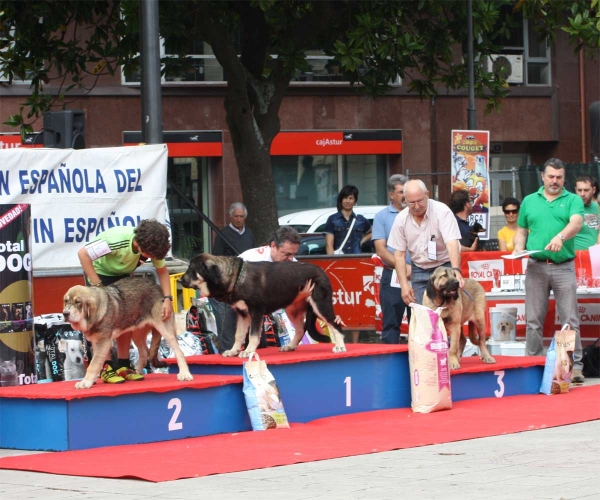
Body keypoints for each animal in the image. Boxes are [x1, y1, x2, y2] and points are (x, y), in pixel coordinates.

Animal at [61, 278, 192, 386]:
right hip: (137, 334)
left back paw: (185, 374)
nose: (65, 313)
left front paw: (85, 382)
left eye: (78, 302)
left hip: (165, 330)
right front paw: (91, 380)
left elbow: (93, 364)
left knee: (179, 351)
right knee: (145, 353)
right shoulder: (96, 342)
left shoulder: (103, 342)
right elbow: (96, 363)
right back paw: (136, 372)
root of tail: (157, 286)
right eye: (66, 301)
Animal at [179, 256, 346, 358]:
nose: (180, 280)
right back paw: (290, 346)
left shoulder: (256, 311)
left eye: (192, 270)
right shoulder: (242, 313)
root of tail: (321, 270)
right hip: (292, 309)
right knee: (301, 329)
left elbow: (253, 335)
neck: (237, 277)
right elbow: (239, 335)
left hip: (320, 304)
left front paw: (248, 351)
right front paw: (233, 351)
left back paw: (340, 346)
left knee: (334, 324)